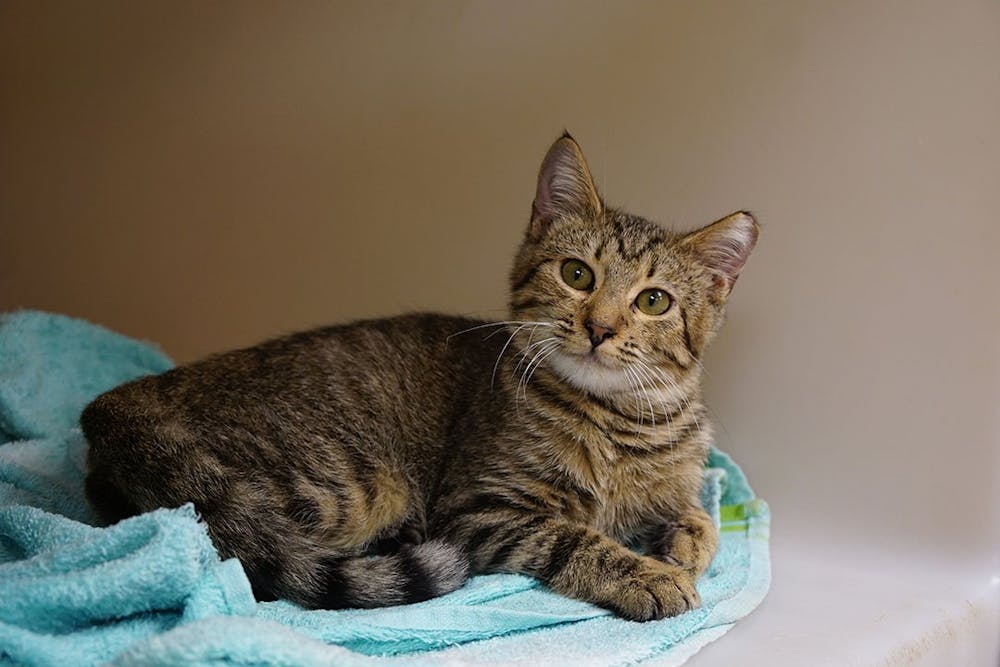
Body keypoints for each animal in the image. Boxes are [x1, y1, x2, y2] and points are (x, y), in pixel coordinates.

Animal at [84, 133, 756, 624]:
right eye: (576, 274)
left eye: (653, 301)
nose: (600, 327)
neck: (617, 417)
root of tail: (122, 400)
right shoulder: (478, 508)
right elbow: (572, 538)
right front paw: (647, 574)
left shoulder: (680, 479)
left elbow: (700, 515)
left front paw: (685, 546)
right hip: (349, 484)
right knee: (220, 548)